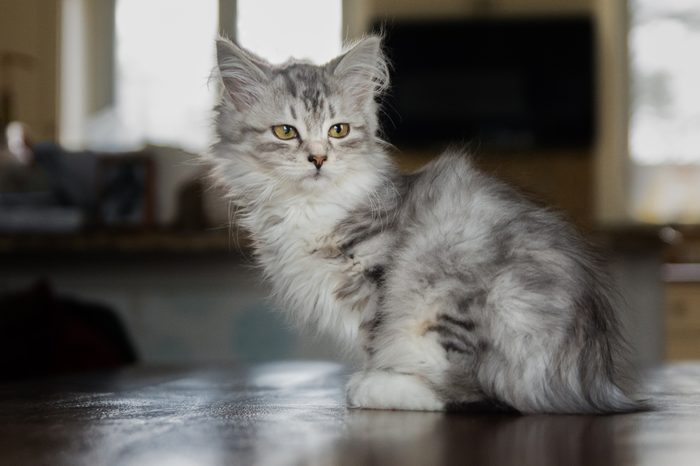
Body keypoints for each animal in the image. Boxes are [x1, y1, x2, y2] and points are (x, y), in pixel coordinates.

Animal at [208, 37, 640, 416]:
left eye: (338, 130)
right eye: (285, 131)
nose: (318, 159)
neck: (308, 207)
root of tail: (589, 383)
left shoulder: (376, 280)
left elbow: (375, 340)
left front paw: (373, 375)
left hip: (446, 283)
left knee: (483, 394)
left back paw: (379, 388)